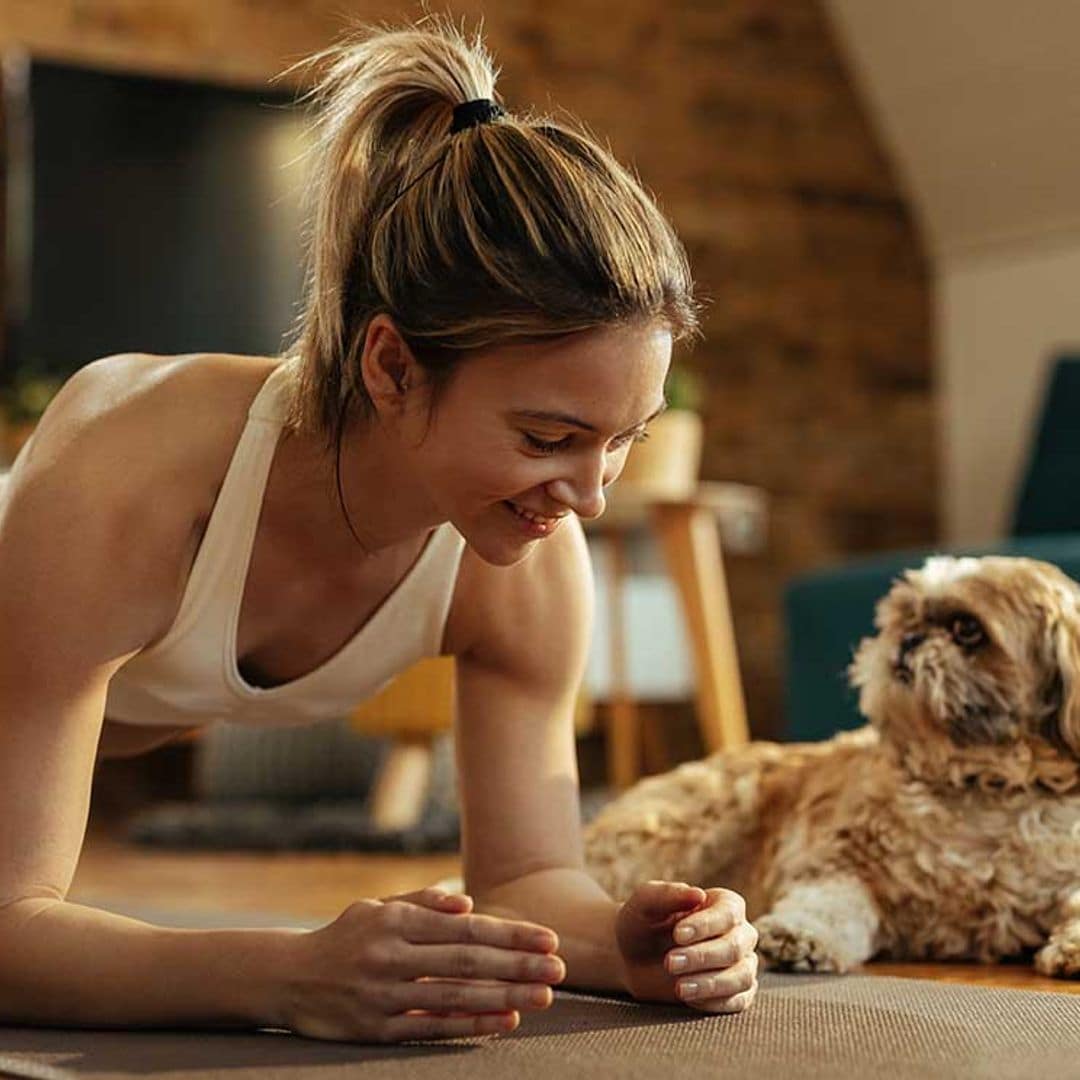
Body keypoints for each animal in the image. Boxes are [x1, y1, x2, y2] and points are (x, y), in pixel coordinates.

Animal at [583, 557, 1080, 980]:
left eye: (966, 629)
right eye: (905, 619)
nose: (908, 640)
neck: (979, 783)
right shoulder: (842, 857)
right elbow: (831, 902)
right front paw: (799, 935)